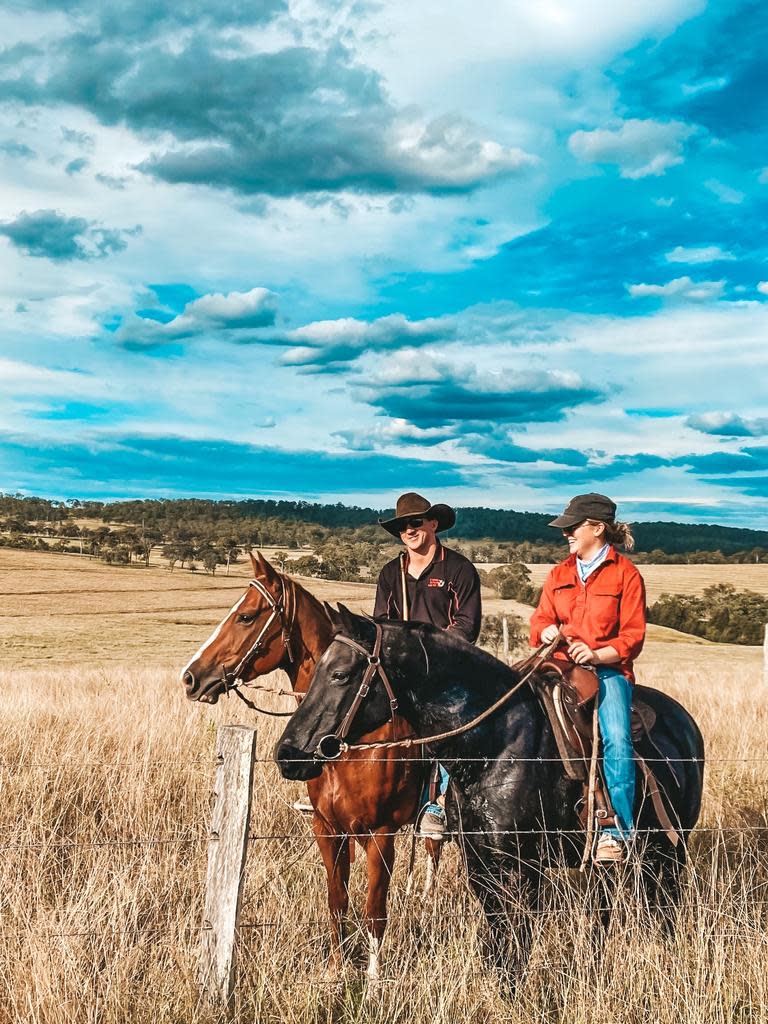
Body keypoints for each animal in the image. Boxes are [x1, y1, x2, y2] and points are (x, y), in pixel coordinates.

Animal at [177, 557, 436, 978]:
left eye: (246, 616)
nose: (190, 677)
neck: (345, 743)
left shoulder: (381, 833)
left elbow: (375, 912)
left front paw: (373, 981)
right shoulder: (327, 828)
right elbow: (337, 901)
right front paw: (335, 970)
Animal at [276, 606, 704, 983]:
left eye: (341, 674)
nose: (288, 754)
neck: (497, 743)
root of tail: (684, 721)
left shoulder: (524, 866)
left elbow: (519, 939)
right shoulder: (479, 862)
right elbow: (497, 939)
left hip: (671, 849)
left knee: (664, 906)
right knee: (606, 907)